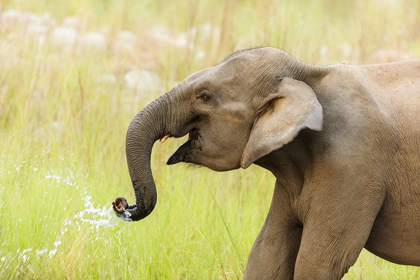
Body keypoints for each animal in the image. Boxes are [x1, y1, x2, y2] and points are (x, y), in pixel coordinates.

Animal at [111, 47, 420, 278]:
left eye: (205, 96)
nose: (122, 204)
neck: (307, 75)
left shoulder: (352, 163)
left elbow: (319, 261)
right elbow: (267, 252)